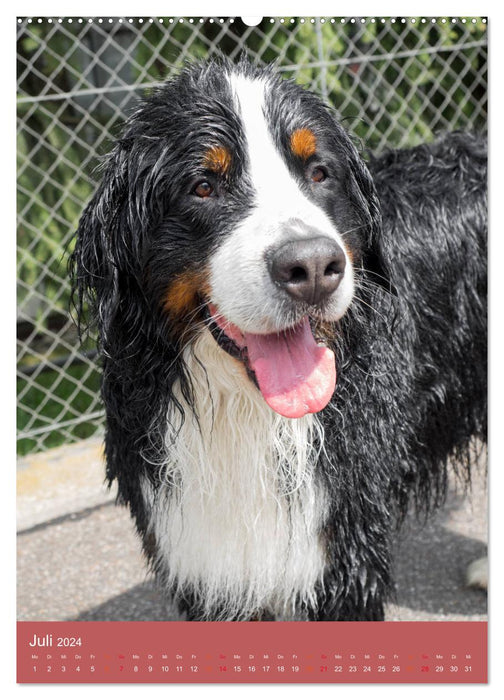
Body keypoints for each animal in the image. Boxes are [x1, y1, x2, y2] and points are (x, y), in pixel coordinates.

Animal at [69, 57, 486, 620]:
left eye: (319, 173)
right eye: (204, 186)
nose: (312, 267)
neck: (247, 412)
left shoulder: (339, 551)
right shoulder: (201, 555)